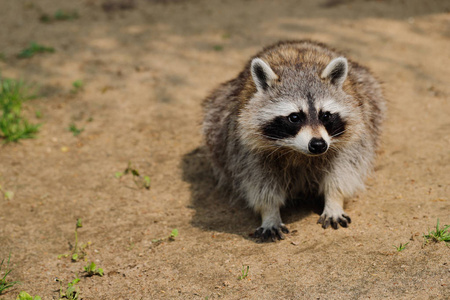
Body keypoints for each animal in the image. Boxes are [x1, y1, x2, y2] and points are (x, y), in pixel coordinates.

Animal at [202, 40, 384, 241]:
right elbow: (258, 180)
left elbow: (343, 171)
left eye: (326, 115)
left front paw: (334, 200)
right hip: (218, 114)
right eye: (294, 117)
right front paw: (269, 212)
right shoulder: (244, 145)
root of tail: (298, 42)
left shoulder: (351, 137)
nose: (318, 145)